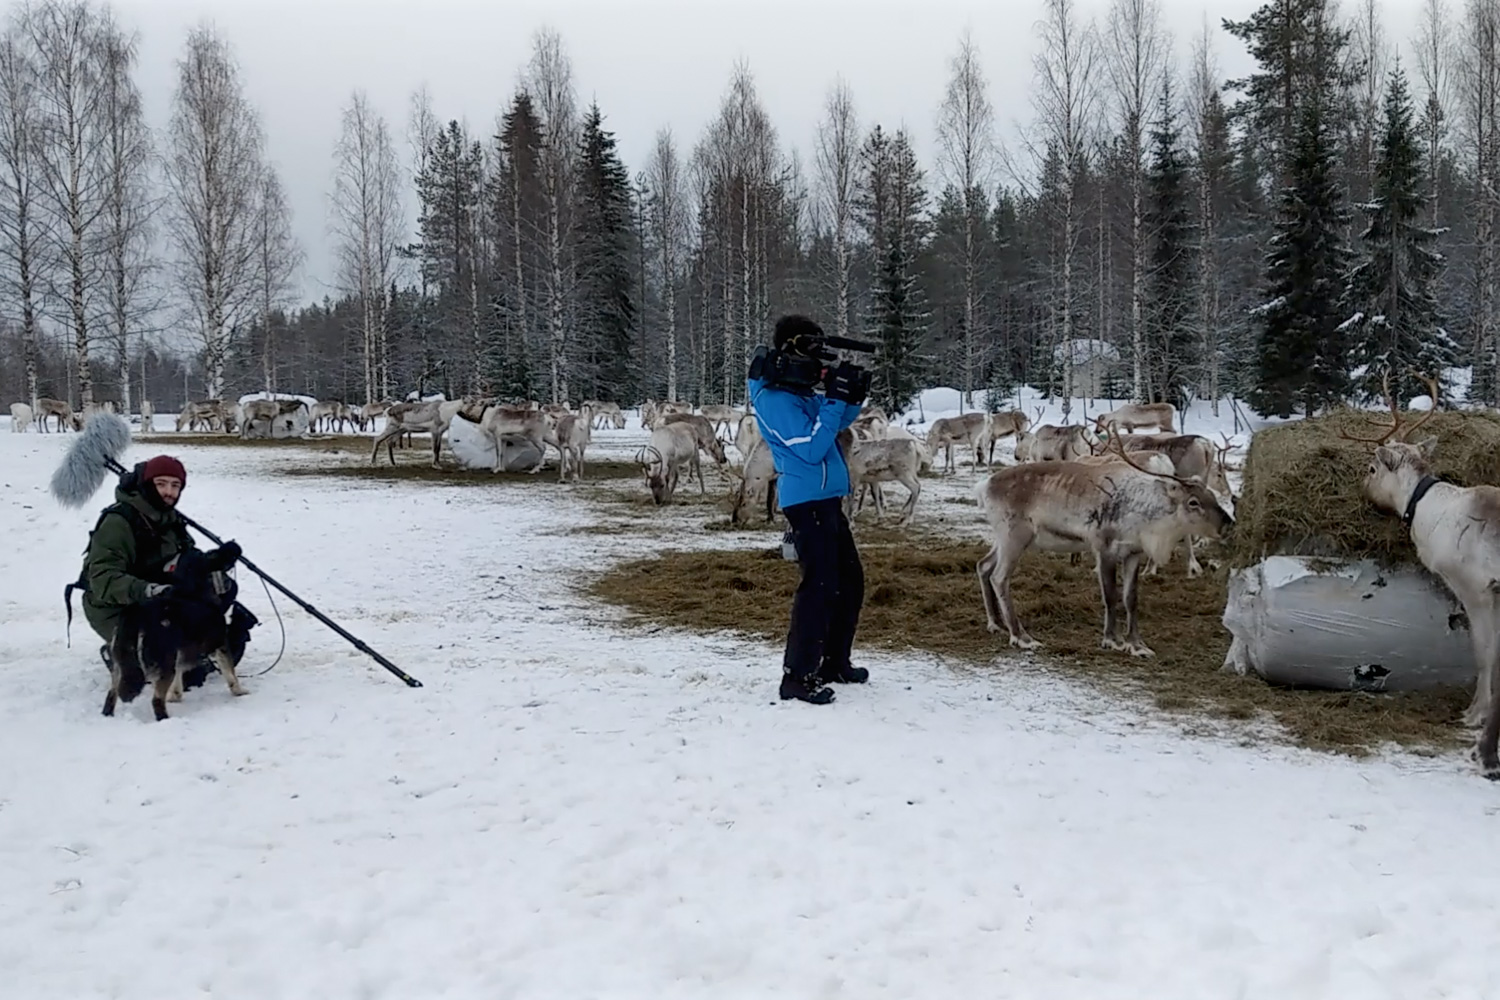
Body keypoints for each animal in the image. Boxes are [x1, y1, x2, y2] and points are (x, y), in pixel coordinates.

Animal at [102, 542, 250, 722]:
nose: (228, 582)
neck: (192, 590)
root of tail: (137, 615)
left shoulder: (179, 653)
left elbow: (178, 678)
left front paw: (175, 696)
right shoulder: (219, 644)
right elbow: (230, 672)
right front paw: (239, 691)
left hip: (120, 664)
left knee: (111, 694)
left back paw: (108, 715)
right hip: (163, 664)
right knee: (156, 700)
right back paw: (164, 719)